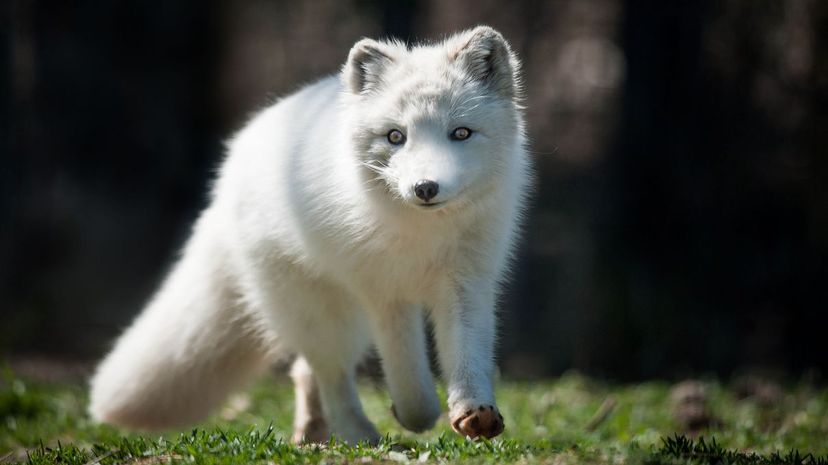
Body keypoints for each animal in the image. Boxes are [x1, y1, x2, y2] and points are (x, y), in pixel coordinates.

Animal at [89, 25, 530, 444]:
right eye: (395, 136)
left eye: (461, 133)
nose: (425, 188)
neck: (423, 237)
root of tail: (229, 173)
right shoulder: (384, 294)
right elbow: (408, 375)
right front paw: (415, 415)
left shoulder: (466, 285)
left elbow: (468, 357)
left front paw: (474, 413)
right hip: (324, 313)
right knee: (329, 374)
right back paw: (357, 436)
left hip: (345, 320)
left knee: (305, 371)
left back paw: (313, 434)